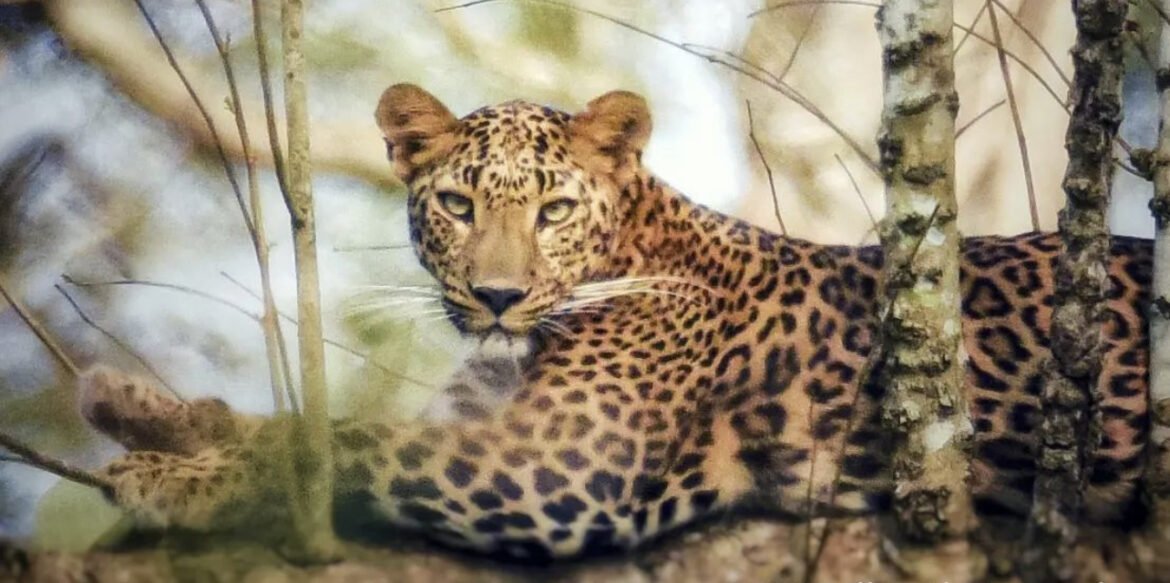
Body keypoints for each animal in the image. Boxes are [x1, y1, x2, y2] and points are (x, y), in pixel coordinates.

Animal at [75, 84, 1151, 560]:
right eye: (457, 205)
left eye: (554, 210)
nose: (498, 296)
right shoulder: (476, 425)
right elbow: (303, 424)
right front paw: (142, 407)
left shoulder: (556, 461)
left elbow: (334, 438)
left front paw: (176, 476)